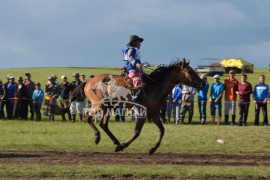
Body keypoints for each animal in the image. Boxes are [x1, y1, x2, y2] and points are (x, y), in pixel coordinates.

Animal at [70, 58, 205, 154]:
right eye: (190, 71)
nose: (203, 83)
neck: (155, 86)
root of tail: (88, 81)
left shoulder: (154, 113)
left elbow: (162, 130)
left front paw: (153, 148)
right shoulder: (142, 113)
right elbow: (136, 132)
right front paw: (123, 146)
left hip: (108, 107)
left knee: (103, 124)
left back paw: (116, 142)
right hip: (98, 105)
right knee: (87, 116)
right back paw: (98, 137)